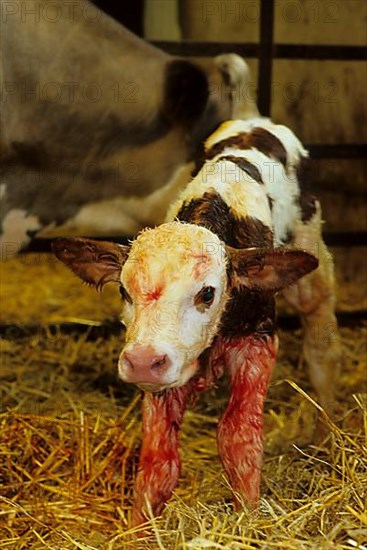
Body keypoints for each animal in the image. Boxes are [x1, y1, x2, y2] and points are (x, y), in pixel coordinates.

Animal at [51, 116, 342, 532]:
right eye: (123, 290)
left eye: (207, 293)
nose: (141, 361)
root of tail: (255, 121)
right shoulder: (163, 370)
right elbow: (159, 459)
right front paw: (139, 531)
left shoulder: (257, 342)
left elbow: (238, 436)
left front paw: (248, 518)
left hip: (312, 263)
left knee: (322, 352)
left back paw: (324, 437)